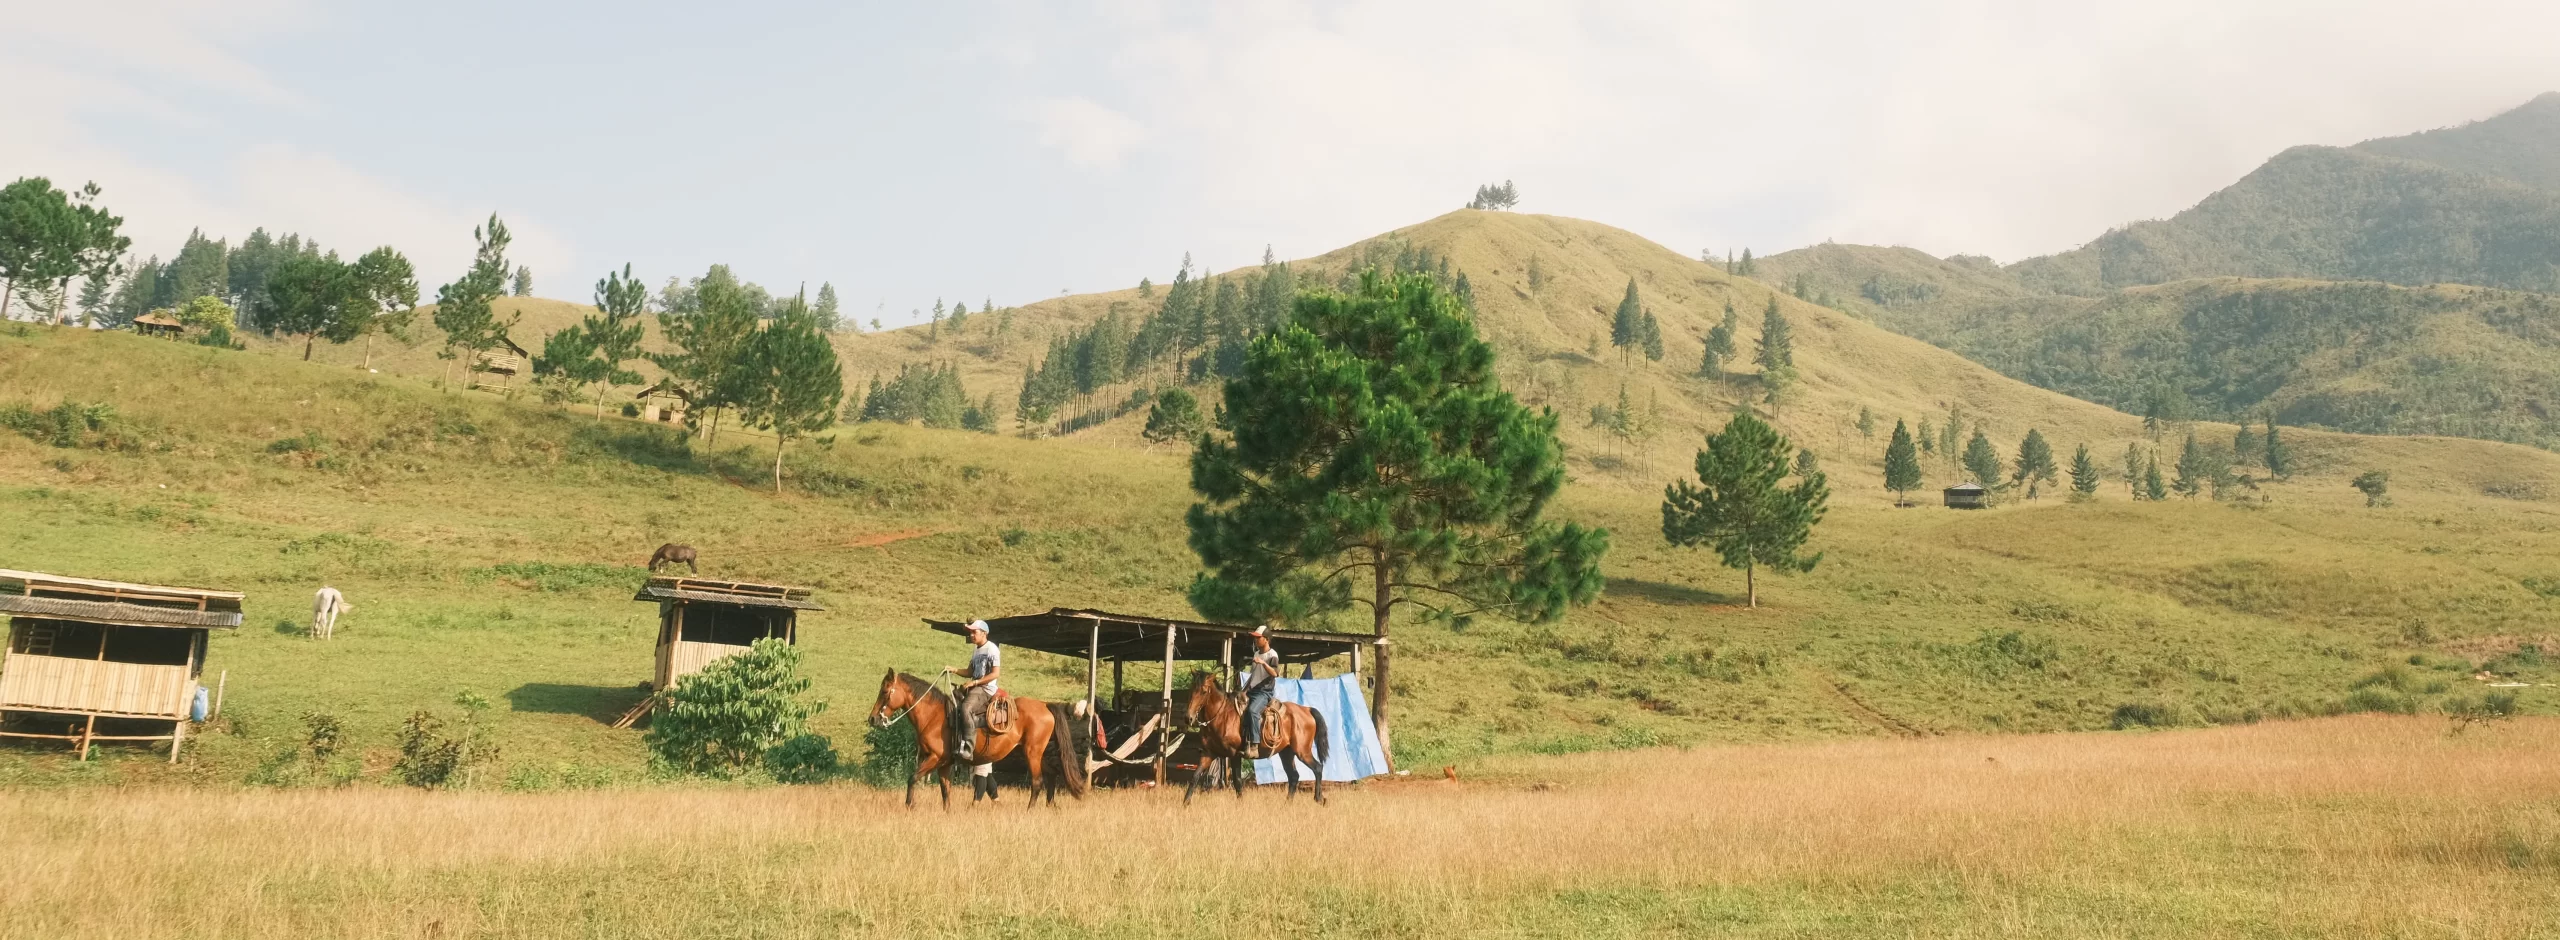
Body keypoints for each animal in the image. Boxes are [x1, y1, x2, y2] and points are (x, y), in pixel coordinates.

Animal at [870, 671, 1090, 809]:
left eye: (884, 691)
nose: (872, 719)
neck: (934, 716)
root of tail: (1045, 705)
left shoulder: (934, 758)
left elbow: (912, 778)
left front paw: (909, 805)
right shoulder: (944, 763)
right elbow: (945, 790)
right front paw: (947, 812)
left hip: (1032, 752)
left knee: (1037, 781)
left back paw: (1030, 810)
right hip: (1033, 752)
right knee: (1052, 773)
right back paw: (1051, 805)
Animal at [1182, 676, 1331, 804]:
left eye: (1203, 691)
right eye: (1190, 690)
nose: (1188, 718)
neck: (1222, 715)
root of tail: (1307, 709)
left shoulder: (1234, 754)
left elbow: (1237, 780)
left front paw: (1240, 803)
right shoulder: (1208, 753)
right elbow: (1195, 776)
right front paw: (1185, 803)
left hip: (1302, 751)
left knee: (1317, 768)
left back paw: (1319, 798)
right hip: (1286, 753)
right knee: (1294, 776)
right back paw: (1287, 803)